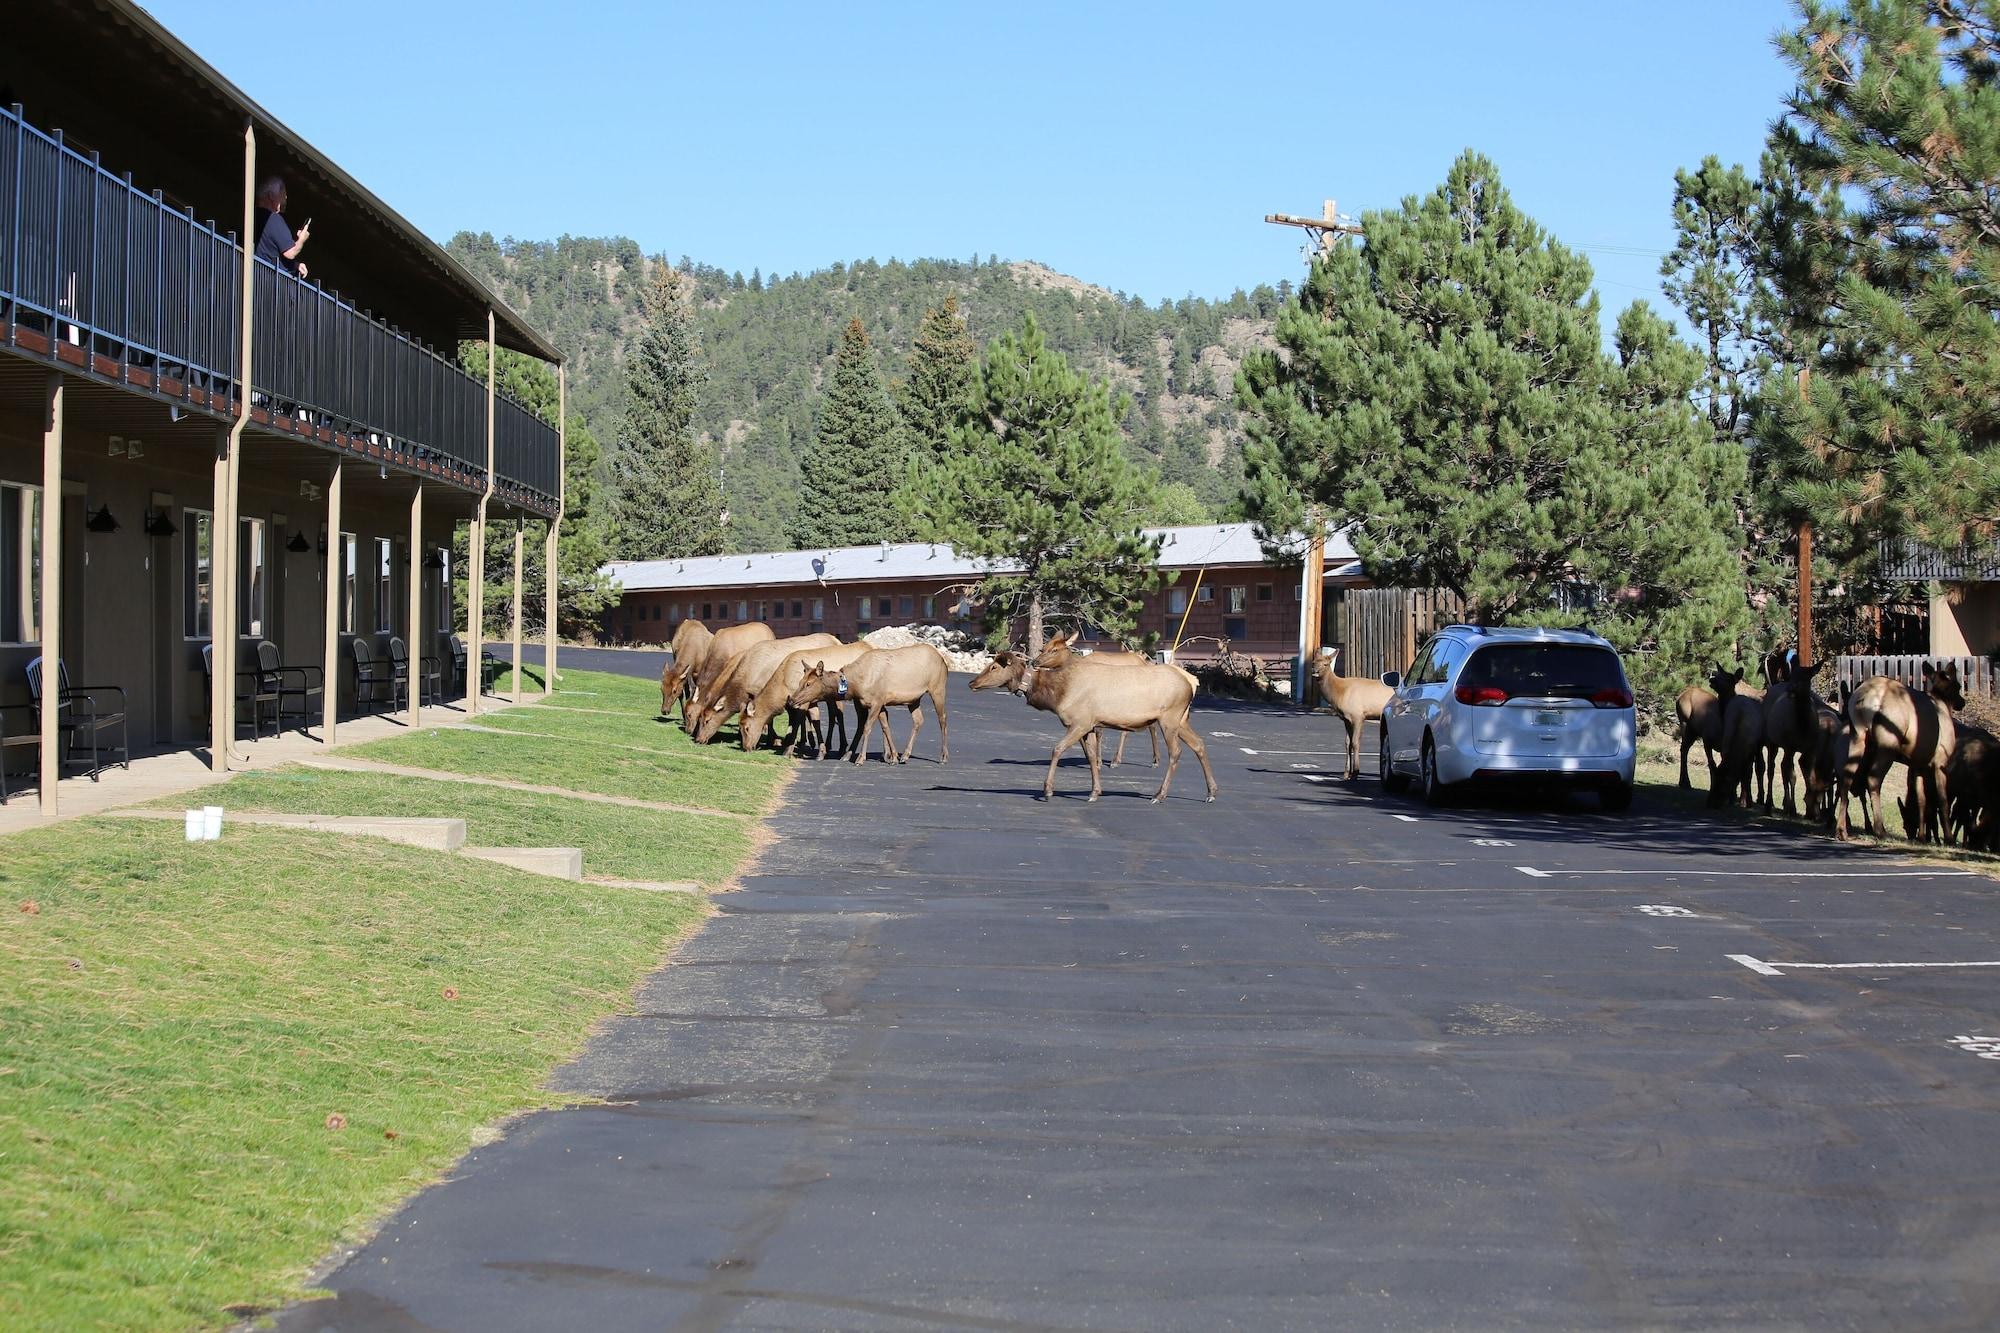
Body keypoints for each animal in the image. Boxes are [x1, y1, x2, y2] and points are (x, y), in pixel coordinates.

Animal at [692, 632, 840, 740]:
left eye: (707, 720)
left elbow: (769, 718)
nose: (698, 739)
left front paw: (773, 740)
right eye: (699, 717)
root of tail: (837, 640)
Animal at [740, 640, 872, 752]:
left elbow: (798, 719)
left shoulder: (803, 700)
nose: (746, 748)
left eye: (746, 727)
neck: (783, 686)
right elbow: (810, 719)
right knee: (836, 714)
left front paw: (790, 746)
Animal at [784, 640, 948, 764]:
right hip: (914, 699)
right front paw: (894, 757)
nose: (792, 700)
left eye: (808, 684)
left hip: (938, 688)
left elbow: (867, 727)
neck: (855, 685)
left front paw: (861, 758)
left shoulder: (877, 701)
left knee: (942, 718)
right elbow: (883, 727)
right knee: (919, 720)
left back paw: (943, 756)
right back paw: (905, 755)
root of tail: (943, 661)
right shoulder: (871, 703)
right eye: (800, 681)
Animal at [1312, 648, 1392, 784]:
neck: (1339, 693)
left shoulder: (1358, 715)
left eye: (1326, 664)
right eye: (1313, 662)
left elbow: (1355, 742)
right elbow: (1347, 743)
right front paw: (1346, 774)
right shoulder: (1346, 719)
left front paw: (1355, 774)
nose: (1315, 672)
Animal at [1832, 660, 1960, 840]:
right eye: (1958, 686)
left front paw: (1922, 837)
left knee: (1847, 776)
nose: (1961, 702)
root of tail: (1864, 700)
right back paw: (1880, 829)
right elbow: (1943, 800)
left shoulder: (1917, 764)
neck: (1942, 701)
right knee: (1873, 778)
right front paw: (1948, 838)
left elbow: (1921, 799)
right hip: (1887, 745)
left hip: (1857, 735)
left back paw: (1842, 830)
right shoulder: (1940, 760)